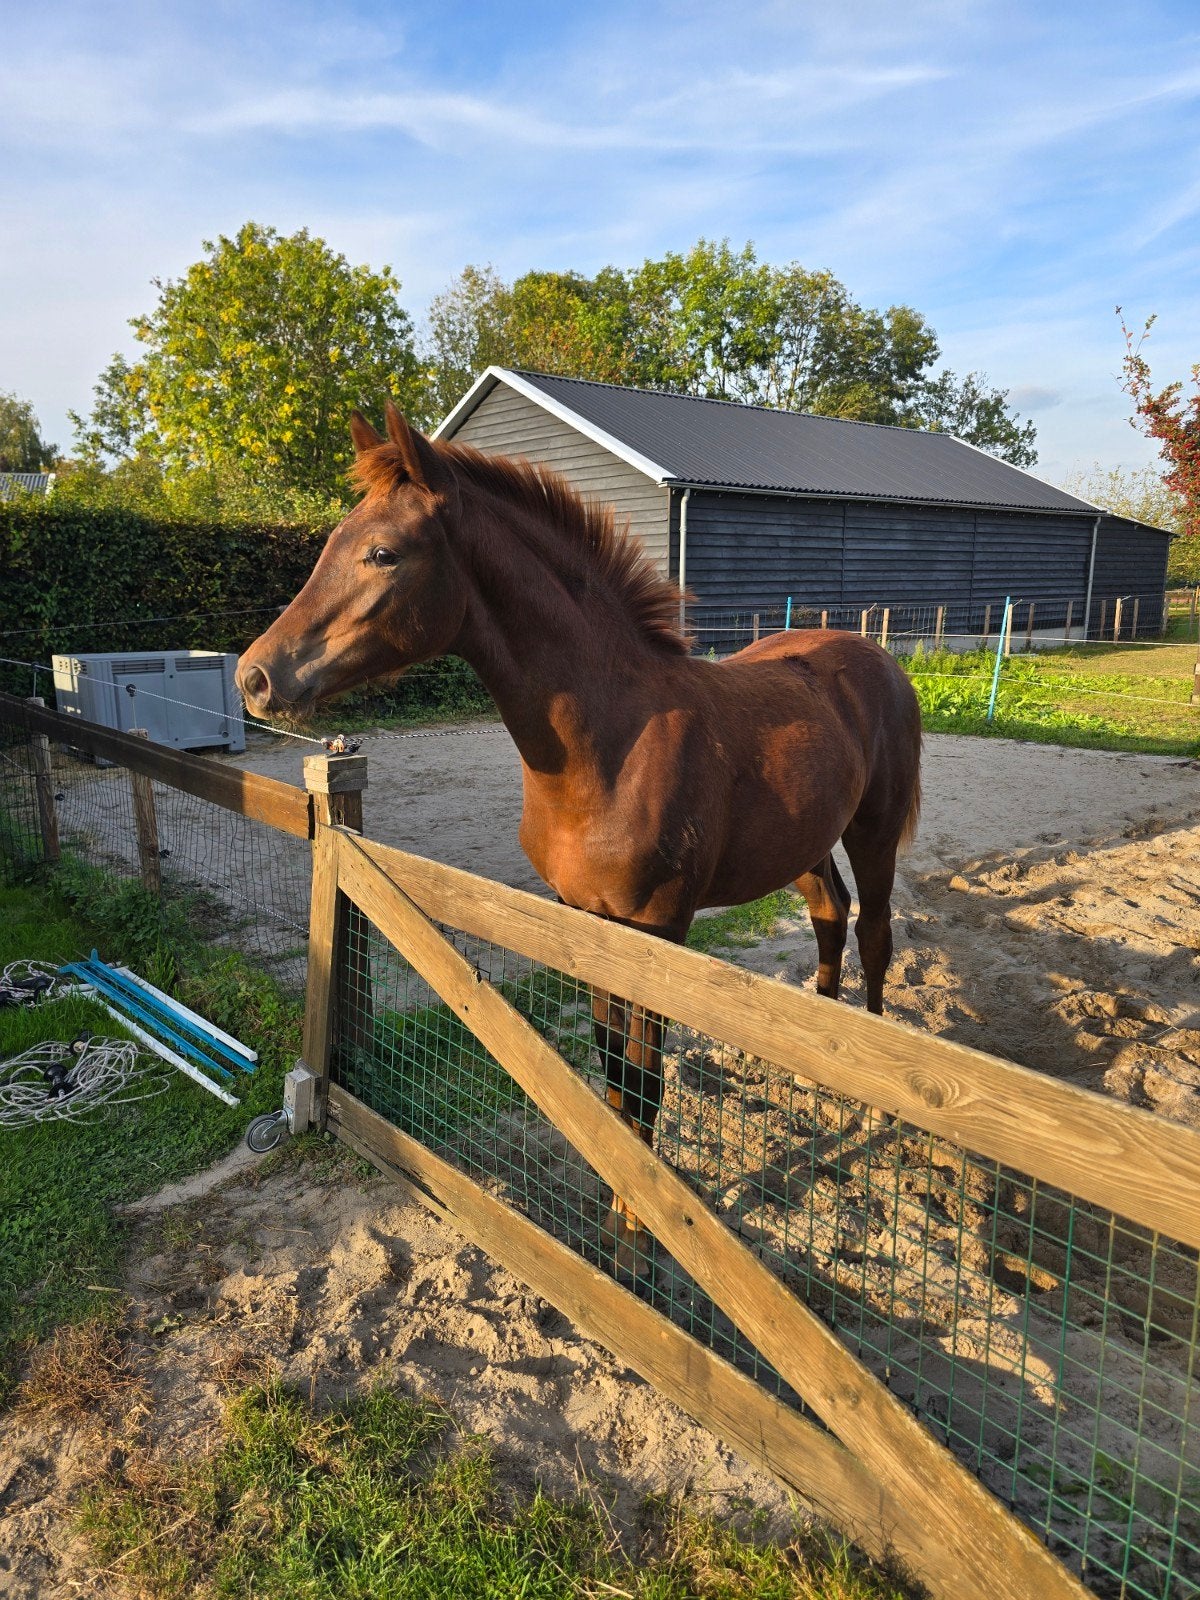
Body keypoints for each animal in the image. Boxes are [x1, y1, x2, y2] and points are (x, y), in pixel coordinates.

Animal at [237, 401, 922, 1275]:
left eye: (383, 552)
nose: (256, 678)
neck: (615, 740)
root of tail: (874, 655)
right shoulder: (586, 923)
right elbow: (610, 1072)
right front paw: (619, 1209)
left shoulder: (658, 932)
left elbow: (646, 1078)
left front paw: (636, 1239)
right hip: (803, 844)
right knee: (830, 914)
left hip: (873, 831)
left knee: (873, 933)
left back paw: (871, 1106)